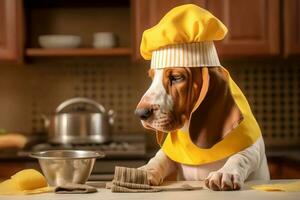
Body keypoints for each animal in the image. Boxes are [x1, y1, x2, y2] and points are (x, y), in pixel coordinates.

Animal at [135, 67, 270, 191]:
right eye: (152, 77)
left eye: (176, 77)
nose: (140, 113)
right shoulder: (172, 152)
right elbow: (158, 158)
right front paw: (145, 171)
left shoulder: (253, 147)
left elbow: (240, 157)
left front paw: (225, 173)